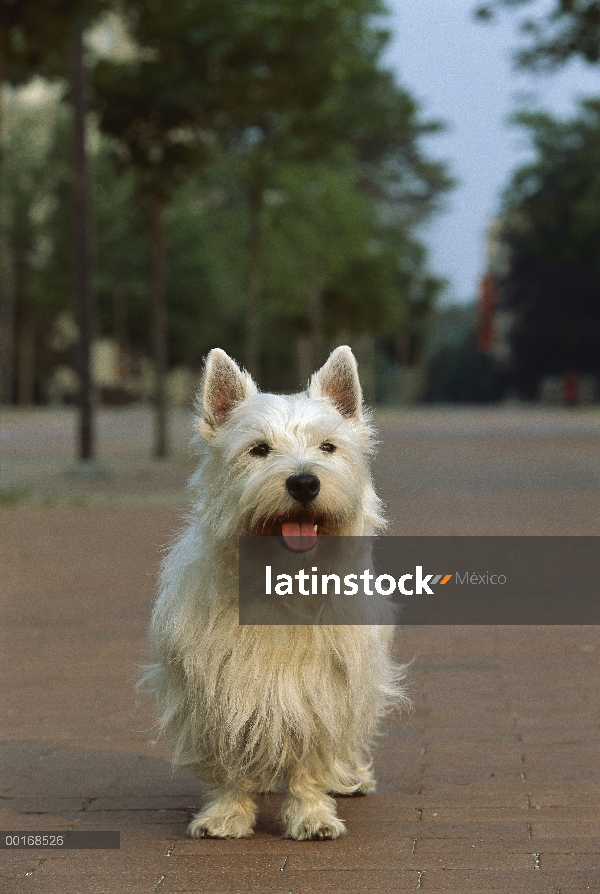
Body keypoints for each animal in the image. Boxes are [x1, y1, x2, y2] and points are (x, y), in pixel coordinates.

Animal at [146, 344, 408, 840]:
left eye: (328, 447)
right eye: (259, 449)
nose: (304, 482)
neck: (283, 576)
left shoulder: (323, 688)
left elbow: (311, 759)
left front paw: (312, 816)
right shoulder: (216, 686)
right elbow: (227, 754)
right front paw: (225, 814)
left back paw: (348, 778)